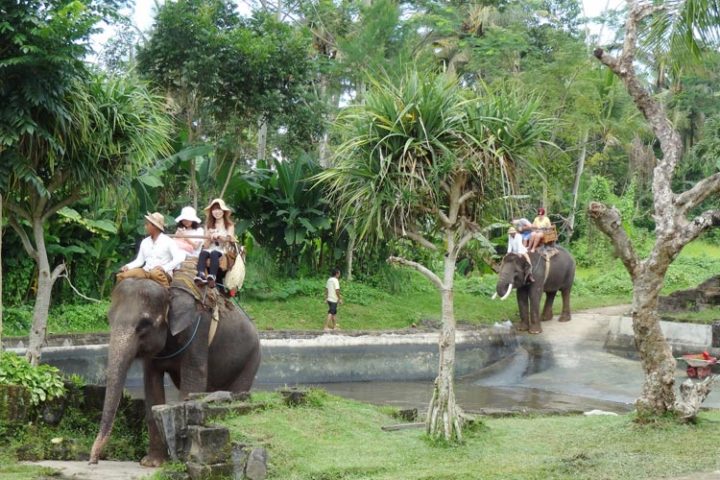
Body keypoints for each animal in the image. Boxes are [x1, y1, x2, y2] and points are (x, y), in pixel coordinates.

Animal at [88, 276, 260, 466]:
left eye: (144, 324)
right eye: (109, 319)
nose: (93, 461)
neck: (169, 289)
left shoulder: (198, 331)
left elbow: (193, 380)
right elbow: (152, 385)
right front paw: (152, 463)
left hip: (250, 360)